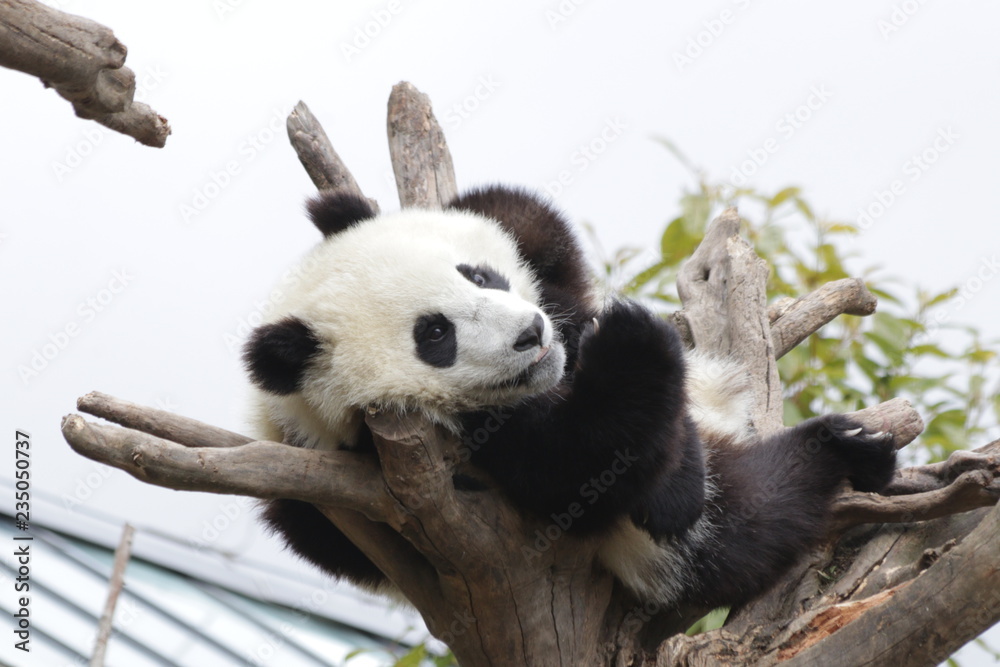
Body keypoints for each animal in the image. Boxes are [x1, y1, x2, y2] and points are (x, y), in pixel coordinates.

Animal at [243, 185, 897, 609]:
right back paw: (837, 451)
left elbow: (522, 217)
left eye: (475, 274)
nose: (531, 335)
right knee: (757, 516)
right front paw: (632, 350)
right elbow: (581, 469)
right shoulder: (421, 453)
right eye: (435, 335)